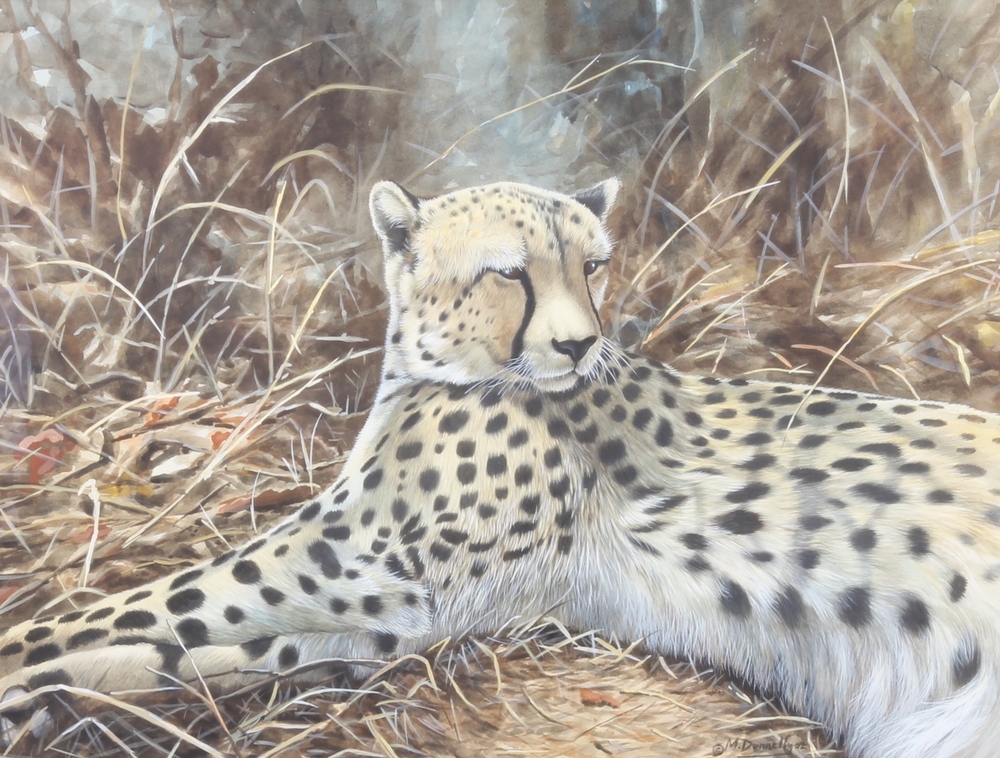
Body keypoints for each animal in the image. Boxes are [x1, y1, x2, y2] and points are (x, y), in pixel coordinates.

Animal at [2, 177, 1000, 758]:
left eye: (594, 265)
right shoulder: (395, 604)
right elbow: (201, 646)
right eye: (508, 273)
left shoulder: (367, 574)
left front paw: (33, 678)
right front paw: (56, 696)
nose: (578, 343)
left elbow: (142, 615)